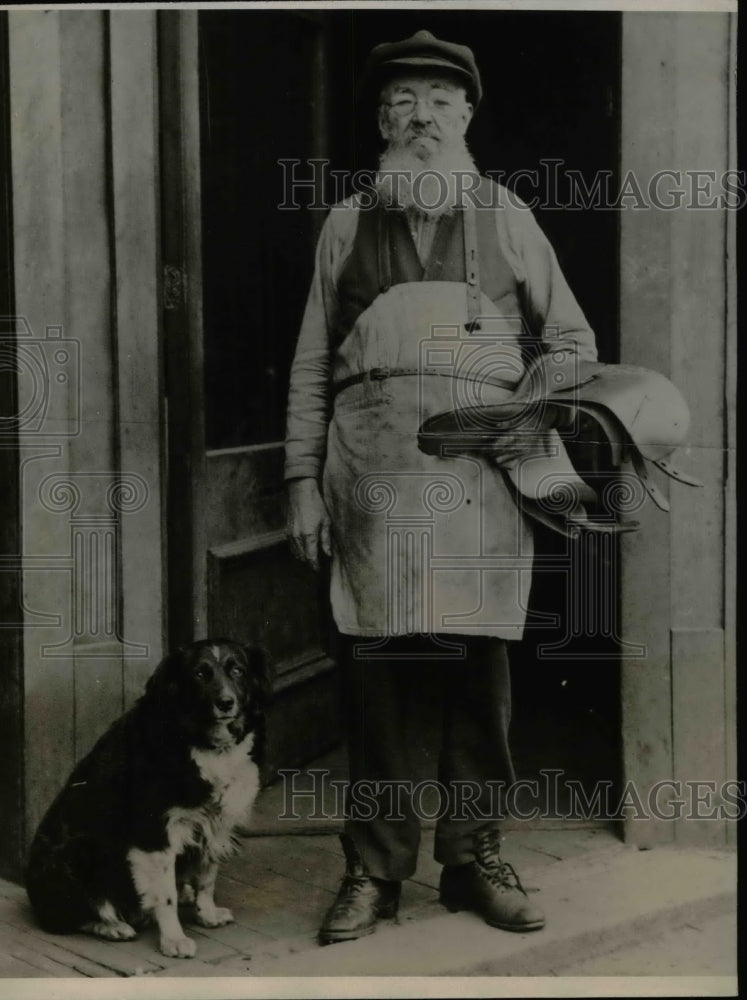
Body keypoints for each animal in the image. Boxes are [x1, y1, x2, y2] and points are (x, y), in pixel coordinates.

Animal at [27, 640, 272, 960]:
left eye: (237, 670)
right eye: (200, 674)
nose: (226, 702)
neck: (203, 741)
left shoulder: (217, 822)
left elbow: (208, 877)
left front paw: (207, 913)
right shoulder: (154, 830)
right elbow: (165, 895)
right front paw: (174, 940)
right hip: (74, 853)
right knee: (73, 917)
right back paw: (112, 926)